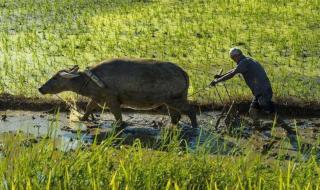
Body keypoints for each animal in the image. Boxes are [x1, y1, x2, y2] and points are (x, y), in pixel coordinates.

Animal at [37, 58, 198, 129]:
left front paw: (120, 125)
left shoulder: (112, 100)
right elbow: (88, 108)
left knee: (191, 110)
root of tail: (184, 72)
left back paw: (195, 127)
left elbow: (118, 116)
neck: (89, 81)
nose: (40, 88)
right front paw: (82, 118)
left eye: (55, 77)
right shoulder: (96, 98)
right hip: (171, 101)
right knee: (176, 116)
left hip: (176, 99)